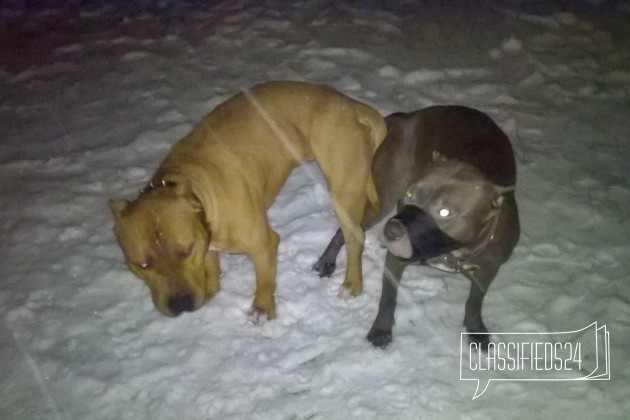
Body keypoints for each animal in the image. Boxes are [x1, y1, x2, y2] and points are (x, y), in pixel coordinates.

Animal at [110, 80, 386, 320]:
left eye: (184, 251)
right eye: (141, 264)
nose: (180, 304)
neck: (191, 185)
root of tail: (351, 104)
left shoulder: (264, 243)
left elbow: (264, 279)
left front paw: (262, 309)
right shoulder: (206, 243)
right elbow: (211, 269)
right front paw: (211, 291)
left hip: (343, 192)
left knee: (355, 238)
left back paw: (352, 284)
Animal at [316, 105, 524, 348]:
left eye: (445, 212)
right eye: (410, 194)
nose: (392, 230)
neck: (451, 251)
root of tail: (408, 116)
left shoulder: (489, 268)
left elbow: (475, 300)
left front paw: (475, 328)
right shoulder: (397, 255)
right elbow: (388, 296)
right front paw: (381, 329)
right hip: (383, 197)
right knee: (348, 229)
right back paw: (327, 261)